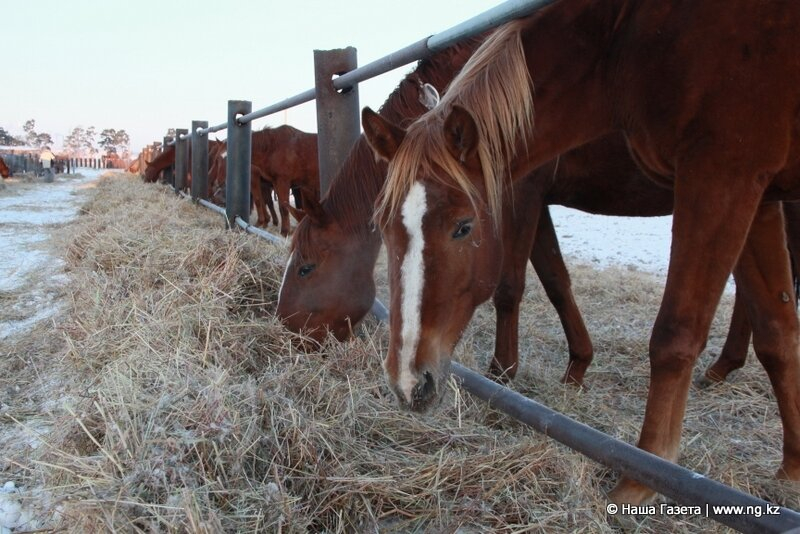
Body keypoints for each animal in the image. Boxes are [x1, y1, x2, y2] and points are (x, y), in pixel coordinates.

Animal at [366, 1, 800, 506]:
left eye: (463, 227)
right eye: (382, 225)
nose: (408, 382)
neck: (624, 42)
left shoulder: (722, 177)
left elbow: (674, 333)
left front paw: (643, 477)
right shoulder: (760, 196)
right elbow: (777, 331)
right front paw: (793, 467)